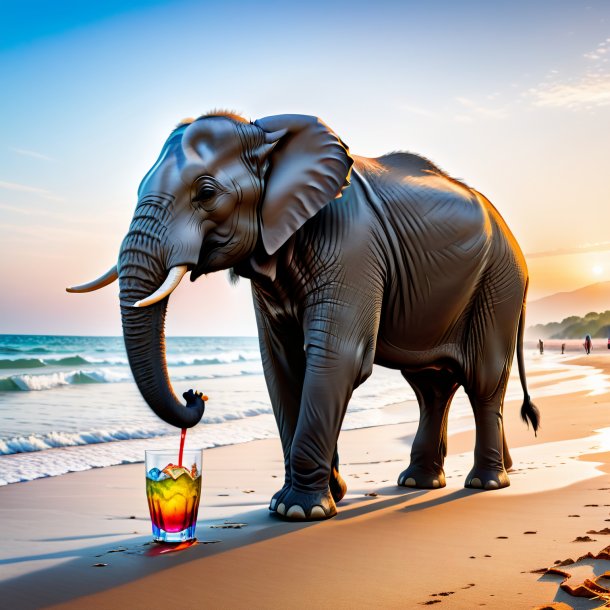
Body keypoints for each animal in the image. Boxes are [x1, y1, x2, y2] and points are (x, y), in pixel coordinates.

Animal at [69, 110, 540, 516]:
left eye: (206, 193)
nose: (194, 394)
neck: (265, 132)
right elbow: (281, 363)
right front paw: (313, 499)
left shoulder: (352, 245)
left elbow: (335, 357)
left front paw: (299, 511)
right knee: (431, 387)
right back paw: (419, 482)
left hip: (498, 283)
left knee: (482, 377)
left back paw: (484, 483)